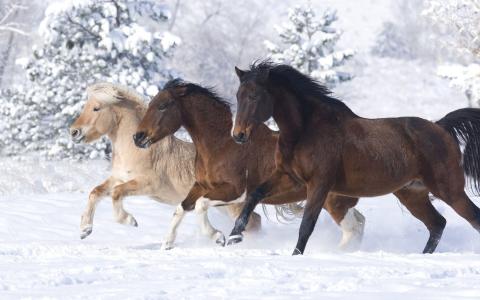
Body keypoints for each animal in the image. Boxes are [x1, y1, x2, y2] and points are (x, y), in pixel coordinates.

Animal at [69, 82, 260, 244]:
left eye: (96, 108)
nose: (73, 132)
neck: (137, 150)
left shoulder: (148, 184)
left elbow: (116, 193)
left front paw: (130, 221)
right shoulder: (118, 178)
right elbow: (95, 192)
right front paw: (85, 229)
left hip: (231, 203)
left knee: (254, 222)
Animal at [133, 78, 366, 250]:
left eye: (163, 106)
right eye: (151, 104)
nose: (138, 137)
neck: (221, 144)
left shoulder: (235, 191)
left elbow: (200, 206)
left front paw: (219, 237)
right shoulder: (201, 186)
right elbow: (181, 208)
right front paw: (167, 243)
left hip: (332, 202)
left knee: (352, 229)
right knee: (359, 223)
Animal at [227, 61, 480, 255]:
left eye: (254, 96)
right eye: (238, 95)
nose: (238, 135)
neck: (305, 130)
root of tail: (441, 127)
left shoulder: (319, 184)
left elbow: (306, 225)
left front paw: (295, 256)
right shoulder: (289, 177)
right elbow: (254, 196)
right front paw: (232, 238)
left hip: (449, 190)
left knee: (471, 218)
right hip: (413, 194)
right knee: (437, 224)